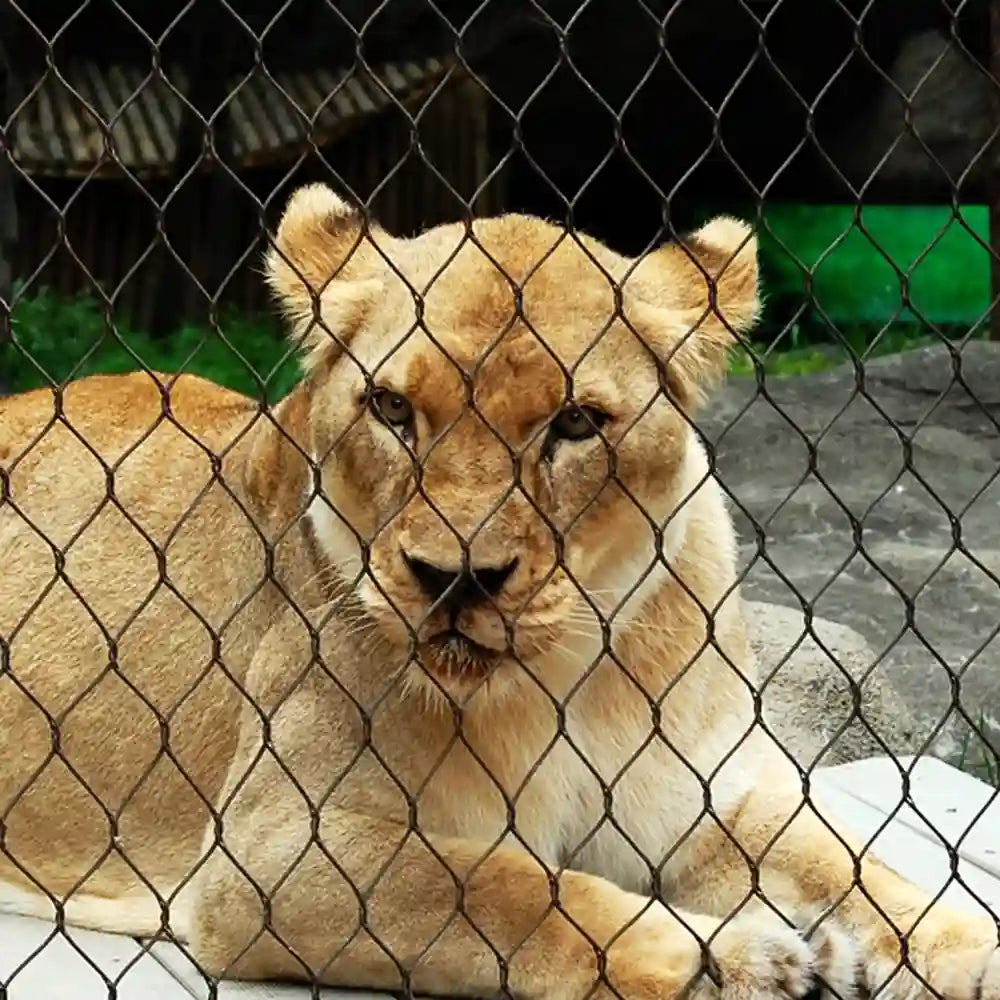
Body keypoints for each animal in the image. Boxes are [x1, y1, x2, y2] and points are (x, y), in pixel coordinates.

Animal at [0, 183, 997, 1000]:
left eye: (576, 423)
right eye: (392, 409)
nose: (456, 578)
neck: (561, 680)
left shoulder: (711, 797)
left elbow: (852, 868)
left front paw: (968, 949)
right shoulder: (269, 853)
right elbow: (507, 892)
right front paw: (738, 959)